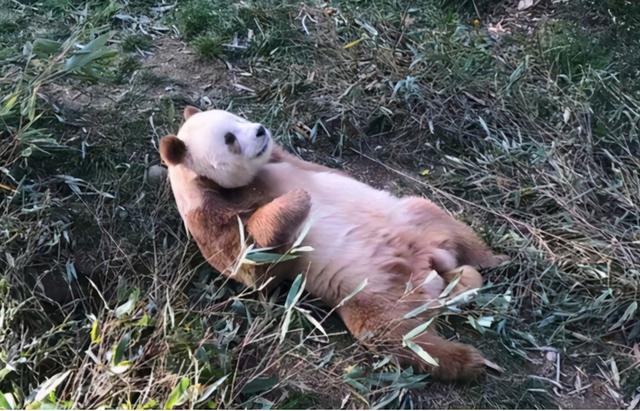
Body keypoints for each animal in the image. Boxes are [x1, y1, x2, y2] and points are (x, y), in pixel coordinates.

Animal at [159, 107, 504, 384]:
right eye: (230, 138)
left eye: (237, 117)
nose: (260, 130)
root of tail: (428, 268)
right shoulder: (209, 215)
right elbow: (252, 263)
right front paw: (298, 200)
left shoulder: (284, 159)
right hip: (374, 292)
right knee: (397, 335)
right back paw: (468, 360)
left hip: (413, 219)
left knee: (449, 227)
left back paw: (493, 261)